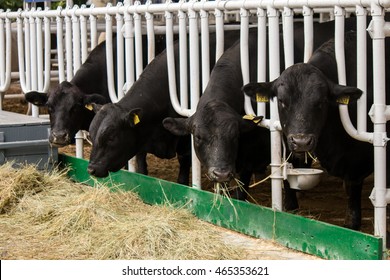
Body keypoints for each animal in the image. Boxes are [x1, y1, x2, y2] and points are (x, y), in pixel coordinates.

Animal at [87, 30, 242, 185]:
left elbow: (184, 164)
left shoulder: (185, 137)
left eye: (111, 137)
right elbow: (141, 166)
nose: (91, 169)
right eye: (91, 135)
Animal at [244, 31, 390, 232]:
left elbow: (352, 201)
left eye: (321, 101)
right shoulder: (287, 144)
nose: (301, 141)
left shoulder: (356, 161)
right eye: (281, 101)